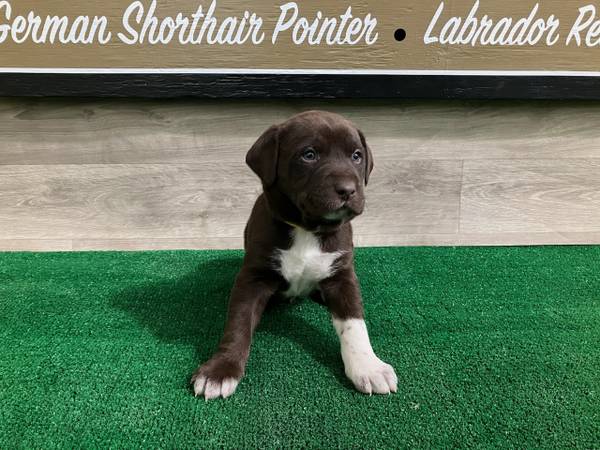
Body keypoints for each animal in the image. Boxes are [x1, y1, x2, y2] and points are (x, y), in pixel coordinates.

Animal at [192, 110, 398, 400]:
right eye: (309, 155)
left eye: (356, 156)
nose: (348, 190)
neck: (307, 229)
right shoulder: (253, 278)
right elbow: (238, 323)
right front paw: (220, 371)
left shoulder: (342, 276)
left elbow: (354, 324)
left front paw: (368, 367)